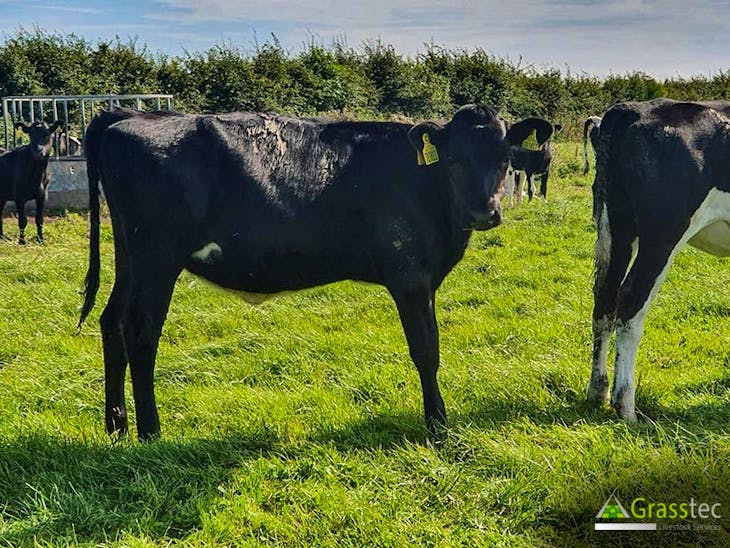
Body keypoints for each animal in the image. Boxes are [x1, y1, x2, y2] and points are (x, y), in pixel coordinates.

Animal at [78, 105, 544, 441]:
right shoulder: (410, 276)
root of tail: (129, 115)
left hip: (131, 258)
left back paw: (116, 425)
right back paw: (150, 432)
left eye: (505, 157)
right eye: (453, 159)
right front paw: (438, 428)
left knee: (112, 321)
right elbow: (426, 350)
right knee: (140, 333)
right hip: (157, 258)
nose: (483, 213)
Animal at [588, 98, 730, 421]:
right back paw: (625, 405)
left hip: (619, 225)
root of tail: (630, 109)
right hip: (664, 233)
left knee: (605, 298)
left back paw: (598, 390)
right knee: (630, 302)